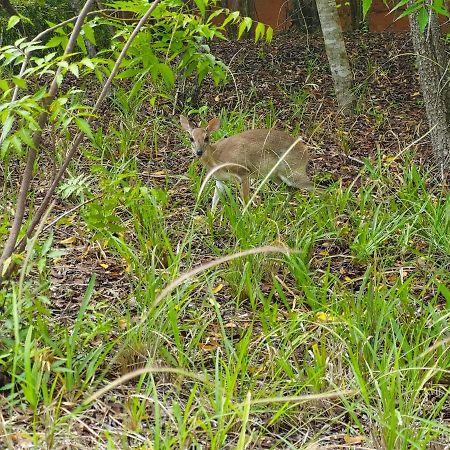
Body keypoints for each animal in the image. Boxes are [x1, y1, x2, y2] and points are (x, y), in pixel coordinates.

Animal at [181, 114, 312, 209]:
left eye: (206, 138)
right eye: (191, 138)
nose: (198, 152)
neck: (216, 158)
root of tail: (305, 150)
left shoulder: (243, 171)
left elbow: (245, 199)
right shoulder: (220, 180)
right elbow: (214, 201)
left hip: (292, 171)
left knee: (313, 186)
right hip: (276, 175)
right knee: (293, 190)